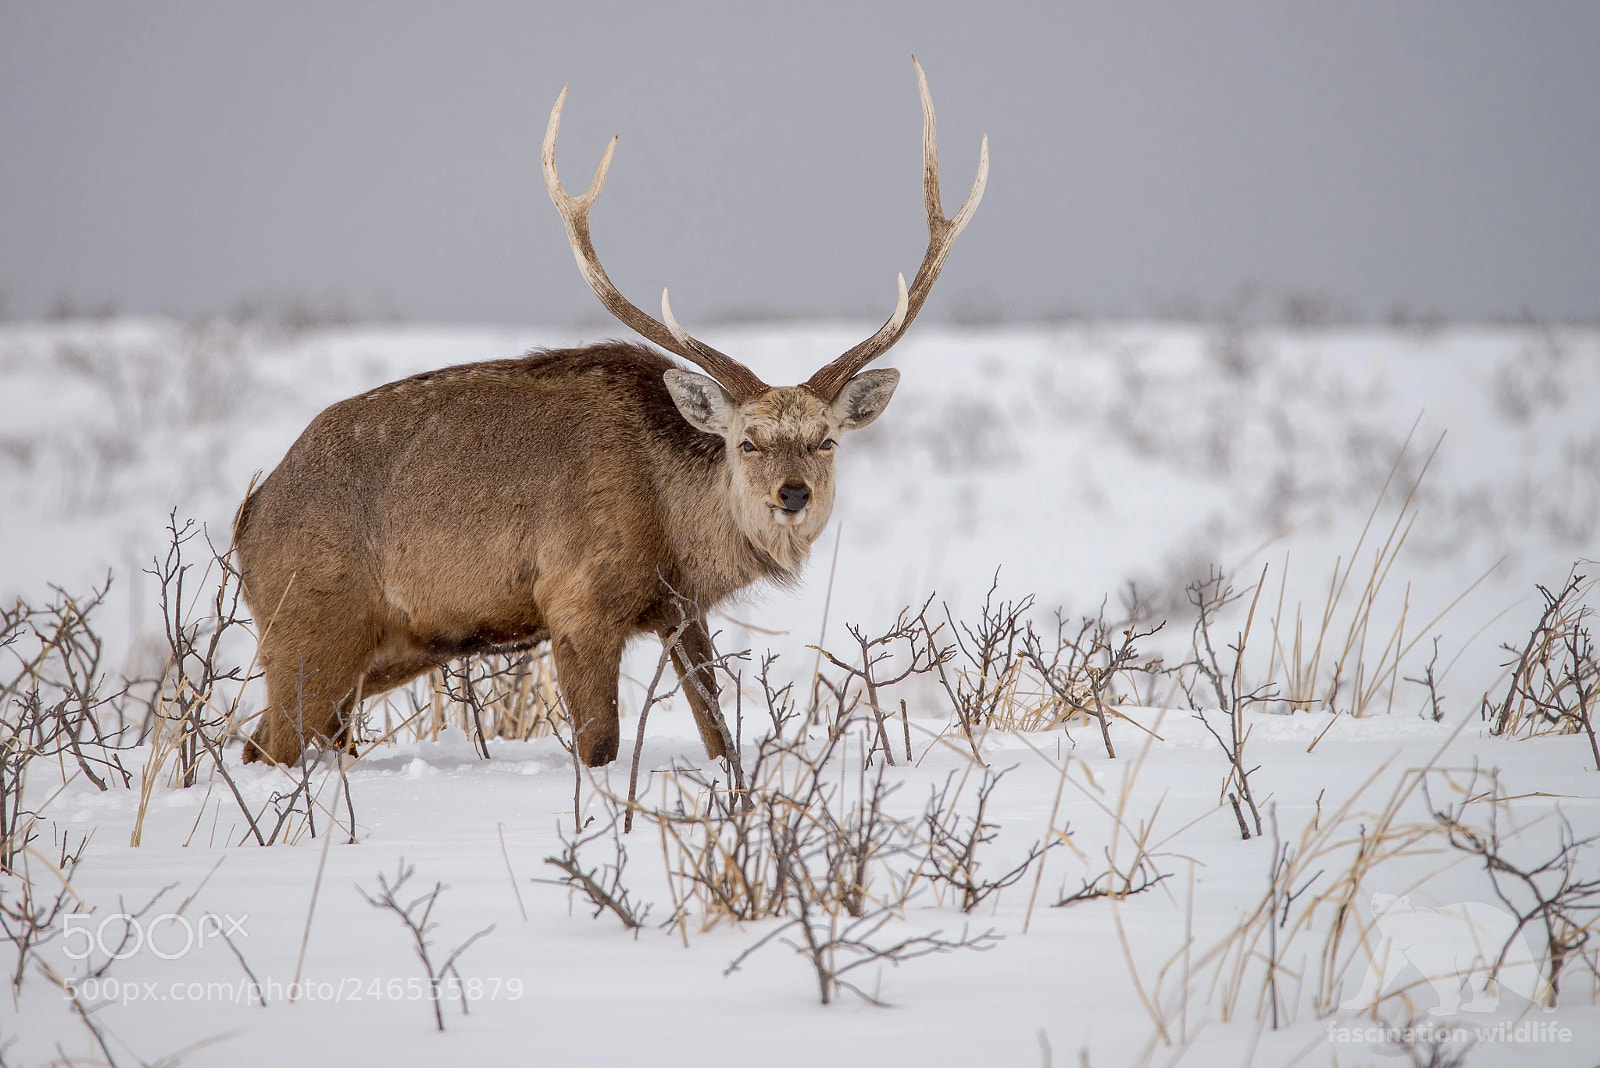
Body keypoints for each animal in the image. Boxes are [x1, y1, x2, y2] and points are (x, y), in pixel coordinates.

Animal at [234, 58, 987, 768]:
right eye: (747, 441)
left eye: (826, 440)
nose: (793, 494)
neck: (673, 529)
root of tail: (249, 517)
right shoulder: (578, 601)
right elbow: (600, 746)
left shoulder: (681, 611)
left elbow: (721, 737)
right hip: (310, 626)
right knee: (269, 744)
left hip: (376, 652)